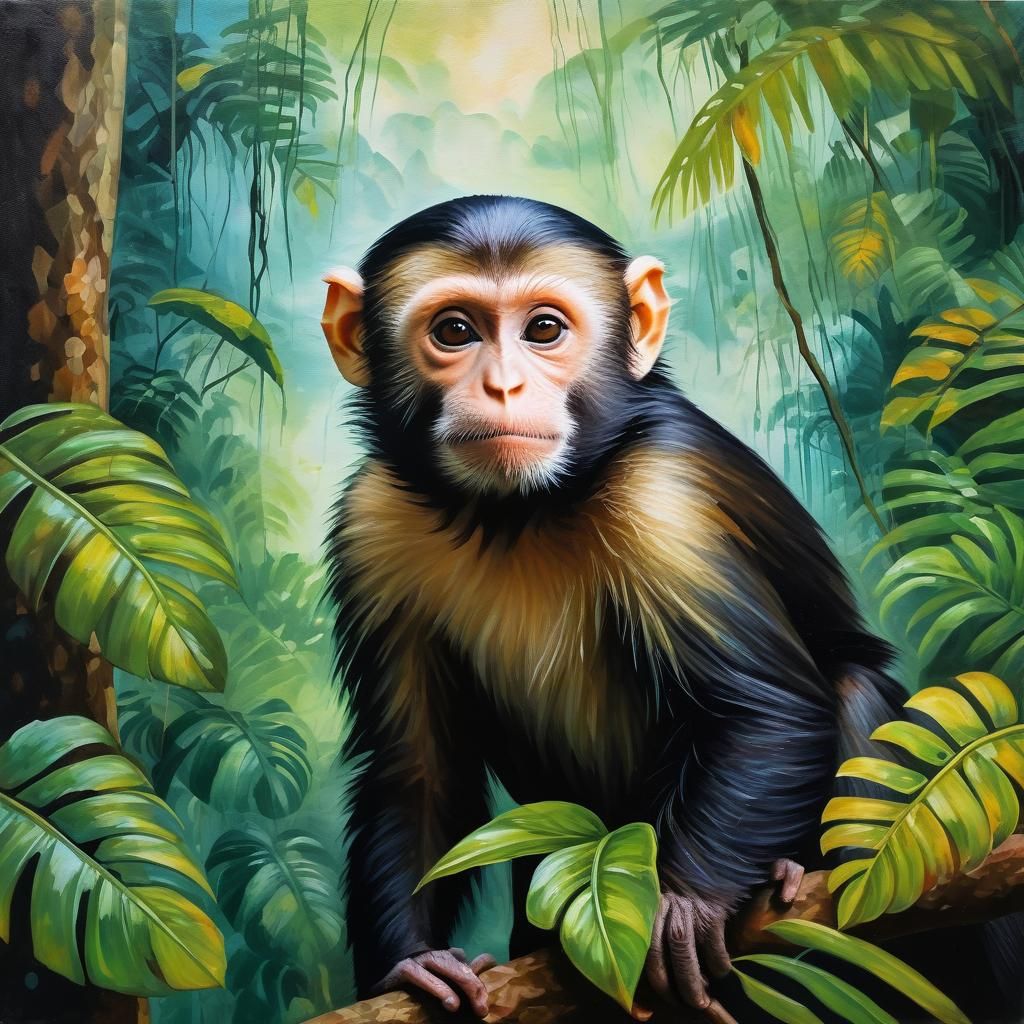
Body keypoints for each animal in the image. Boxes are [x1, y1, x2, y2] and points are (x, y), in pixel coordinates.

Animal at [320, 195, 1021, 1022]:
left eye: (544, 330)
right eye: (455, 331)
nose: (503, 387)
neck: (518, 515)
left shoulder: (665, 491)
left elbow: (766, 710)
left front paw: (685, 906)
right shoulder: (372, 521)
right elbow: (415, 767)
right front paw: (412, 963)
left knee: (856, 702)